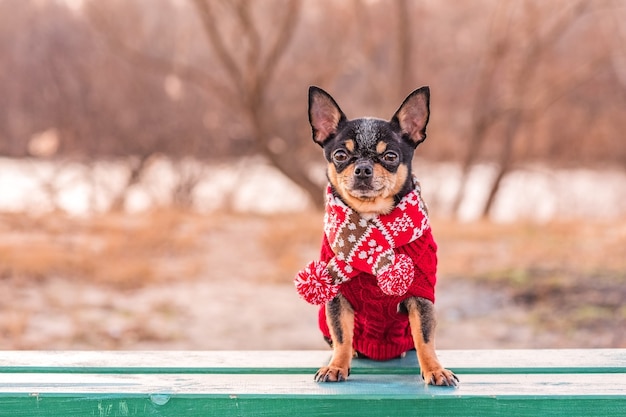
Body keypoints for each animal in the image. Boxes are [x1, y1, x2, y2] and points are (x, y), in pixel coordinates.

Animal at [294, 86, 456, 386]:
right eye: (340, 156)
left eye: (390, 156)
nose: (363, 168)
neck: (370, 218)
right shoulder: (336, 298)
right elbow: (342, 336)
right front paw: (336, 366)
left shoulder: (420, 296)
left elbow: (425, 338)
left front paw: (435, 369)